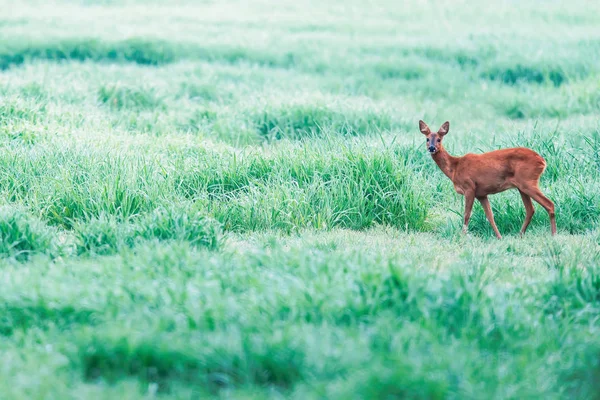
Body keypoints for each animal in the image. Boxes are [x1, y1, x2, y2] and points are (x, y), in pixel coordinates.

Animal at [420, 119, 556, 238]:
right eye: (427, 139)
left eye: (439, 139)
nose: (431, 148)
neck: (455, 167)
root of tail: (542, 161)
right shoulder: (481, 194)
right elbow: (490, 216)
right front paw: (499, 237)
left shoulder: (469, 187)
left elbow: (466, 214)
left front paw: (462, 237)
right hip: (522, 186)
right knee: (530, 209)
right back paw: (520, 235)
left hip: (528, 181)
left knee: (549, 204)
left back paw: (553, 234)